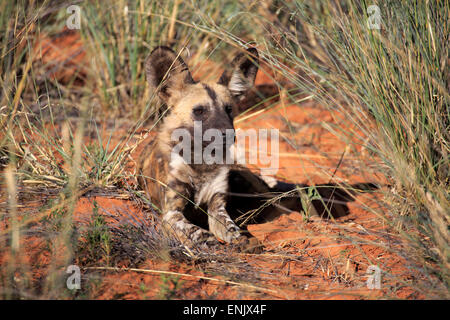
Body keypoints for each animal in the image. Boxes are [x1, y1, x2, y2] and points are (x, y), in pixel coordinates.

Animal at [137, 46, 264, 251]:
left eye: (229, 109)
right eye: (199, 111)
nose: (227, 133)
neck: (202, 160)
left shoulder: (217, 208)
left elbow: (233, 230)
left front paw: (244, 241)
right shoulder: (172, 214)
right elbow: (201, 233)